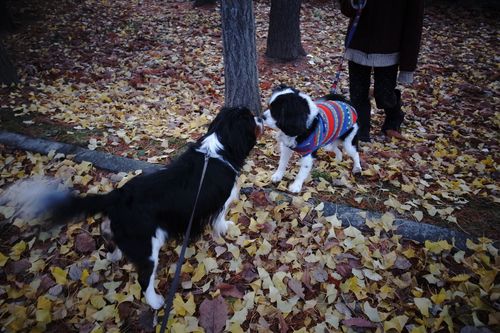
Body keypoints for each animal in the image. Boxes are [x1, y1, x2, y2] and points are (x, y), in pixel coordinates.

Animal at [15, 106, 262, 308]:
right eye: (251, 118)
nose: (261, 117)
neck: (216, 150)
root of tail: (117, 196)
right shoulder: (219, 202)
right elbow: (220, 219)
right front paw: (227, 228)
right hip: (148, 246)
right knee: (144, 279)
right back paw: (156, 302)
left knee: (106, 233)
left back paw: (114, 256)